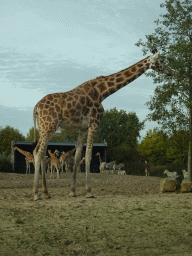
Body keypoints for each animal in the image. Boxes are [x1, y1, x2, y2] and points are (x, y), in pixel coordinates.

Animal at [32, 48, 172, 200]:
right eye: (162, 60)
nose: (170, 72)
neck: (101, 93)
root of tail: (36, 108)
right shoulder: (95, 121)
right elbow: (88, 156)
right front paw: (89, 191)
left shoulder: (82, 127)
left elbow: (78, 157)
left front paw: (73, 191)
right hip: (49, 125)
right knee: (39, 152)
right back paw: (36, 194)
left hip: (44, 127)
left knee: (39, 152)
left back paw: (46, 192)